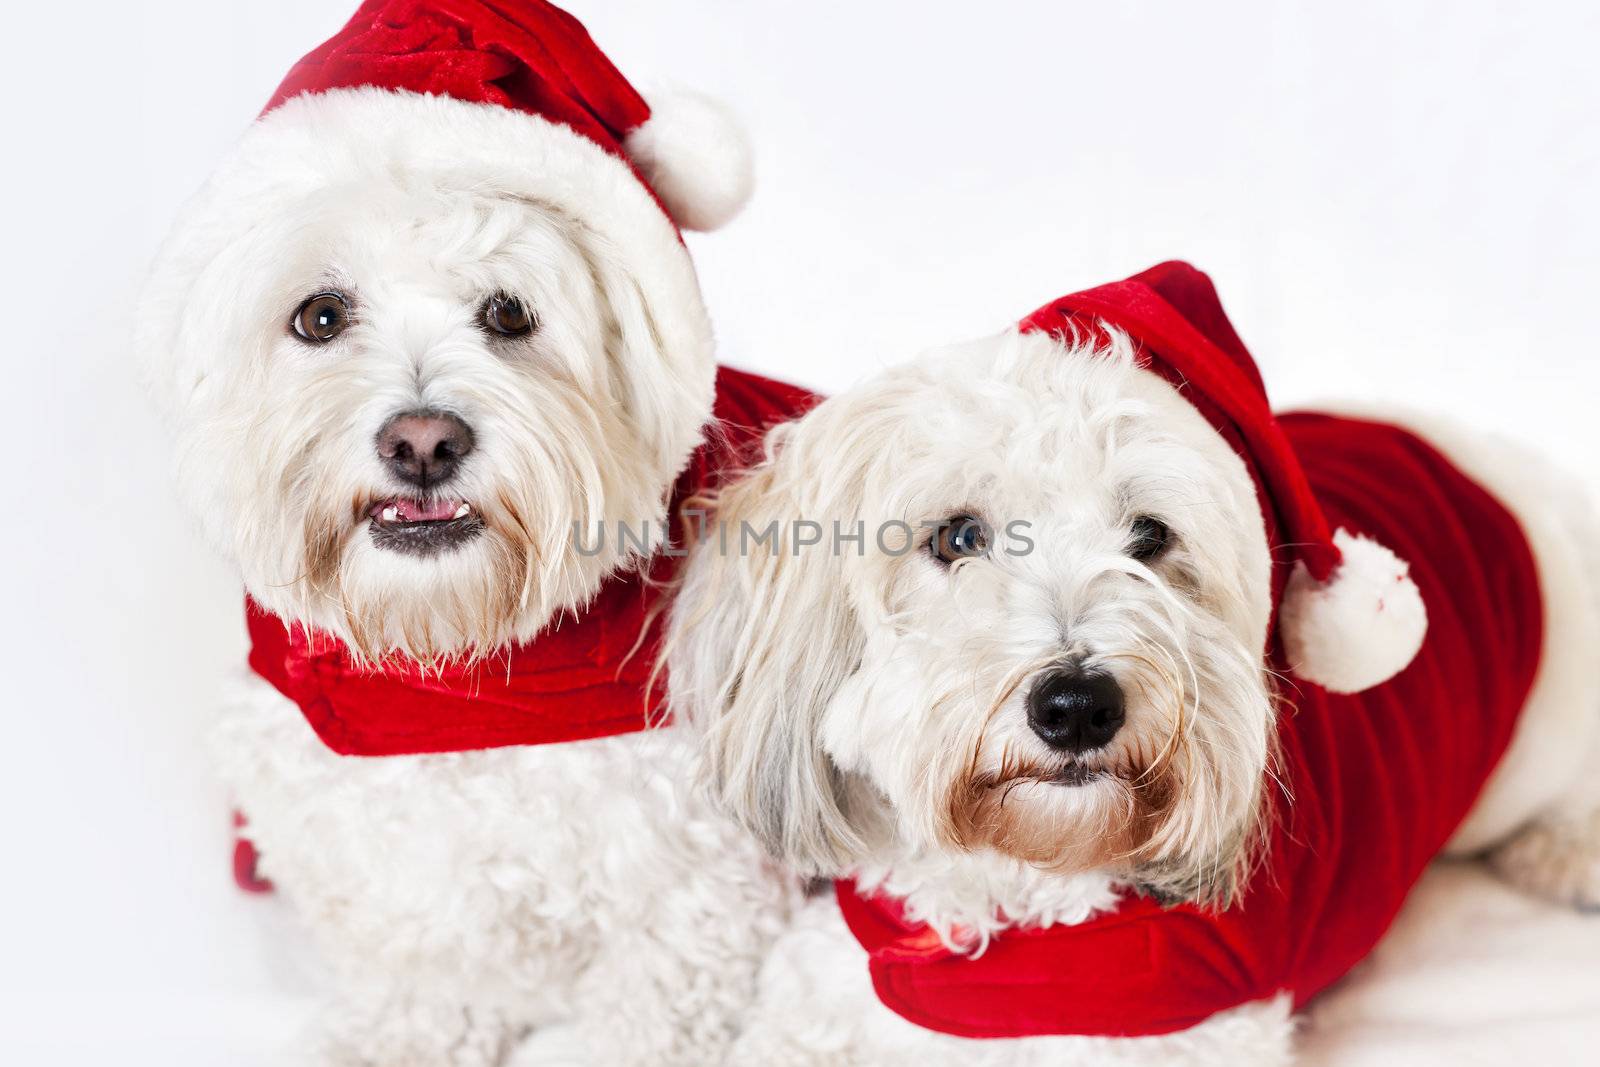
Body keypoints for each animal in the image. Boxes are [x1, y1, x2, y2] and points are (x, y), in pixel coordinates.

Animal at [134, 4, 796, 1062]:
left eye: (509, 312)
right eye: (321, 316)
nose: (422, 442)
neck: (457, 668)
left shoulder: (693, 898)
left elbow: (652, 1001)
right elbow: (420, 974)